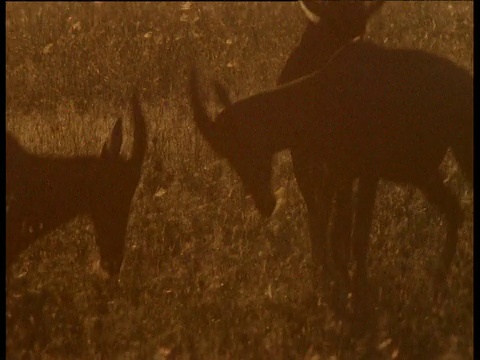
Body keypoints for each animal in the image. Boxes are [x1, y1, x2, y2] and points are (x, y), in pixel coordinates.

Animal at [190, 39, 472, 298]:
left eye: (242, 149)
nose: (265, 204)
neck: (324, 91)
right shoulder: (341, 175)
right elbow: (338, 239)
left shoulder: (367, 175)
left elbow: (357, 237)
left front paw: (359, 289)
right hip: (423, 175)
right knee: (455, 211)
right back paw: (437, 281)